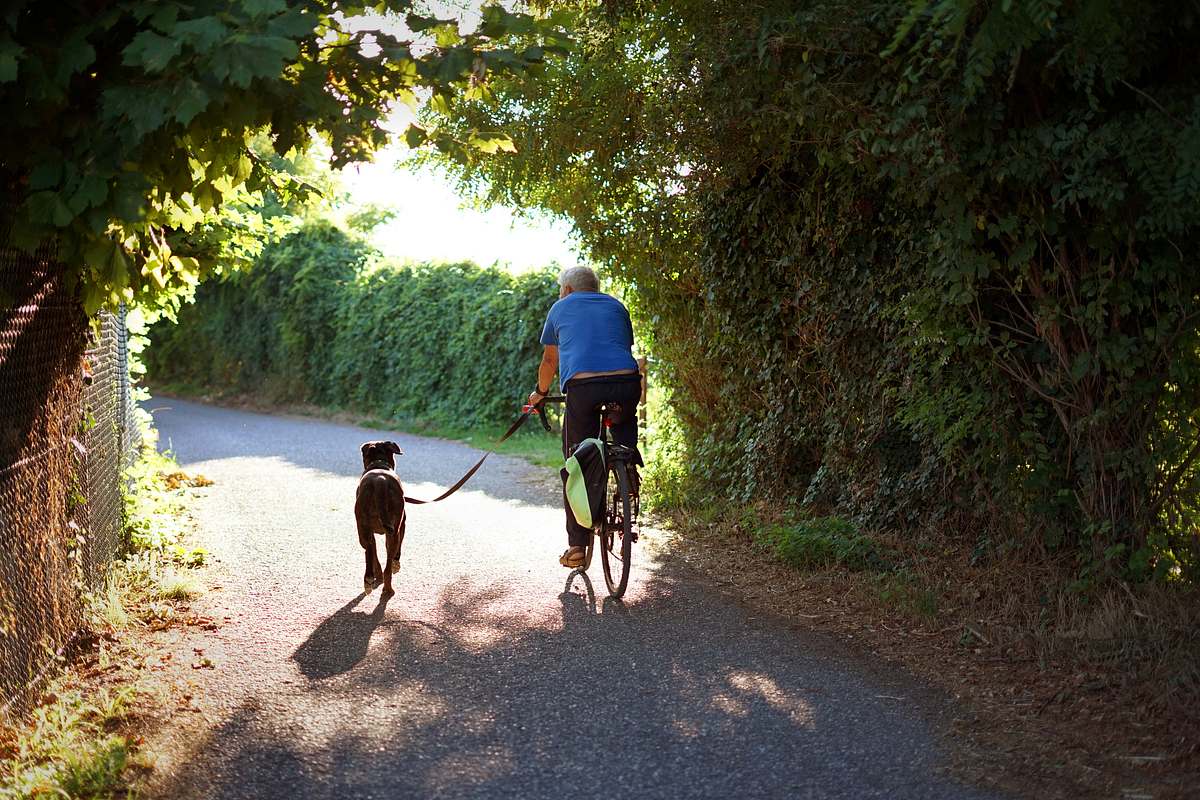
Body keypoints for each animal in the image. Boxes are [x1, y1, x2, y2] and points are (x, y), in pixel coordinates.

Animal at [355, 441, 408, 597]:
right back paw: (387, 588)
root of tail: (380, 481)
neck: (379, 463)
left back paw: (369, 580)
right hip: (393, 531)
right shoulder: (402, 525)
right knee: (387, 564)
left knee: (368, 550)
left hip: (363, 529)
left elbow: (374, 554)